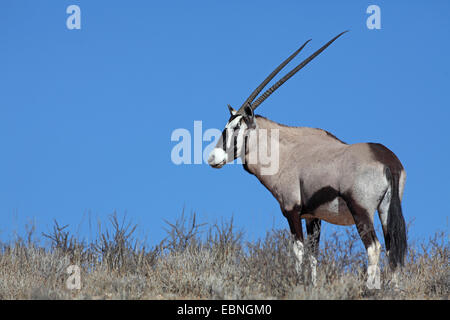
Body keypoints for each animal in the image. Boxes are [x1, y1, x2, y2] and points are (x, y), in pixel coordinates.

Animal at [207, 31, 408, 288]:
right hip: (386, 211)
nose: (213, 157)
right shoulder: (313, 216)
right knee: (393, 249)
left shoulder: (291, 210)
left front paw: (297, 282)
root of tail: (387, 161)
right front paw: (311, 285)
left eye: (235, 127)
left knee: (374, 247)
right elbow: (313, 254)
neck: (285, 152)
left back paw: (370, 288)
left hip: (361, 211)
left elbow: (298, 251)